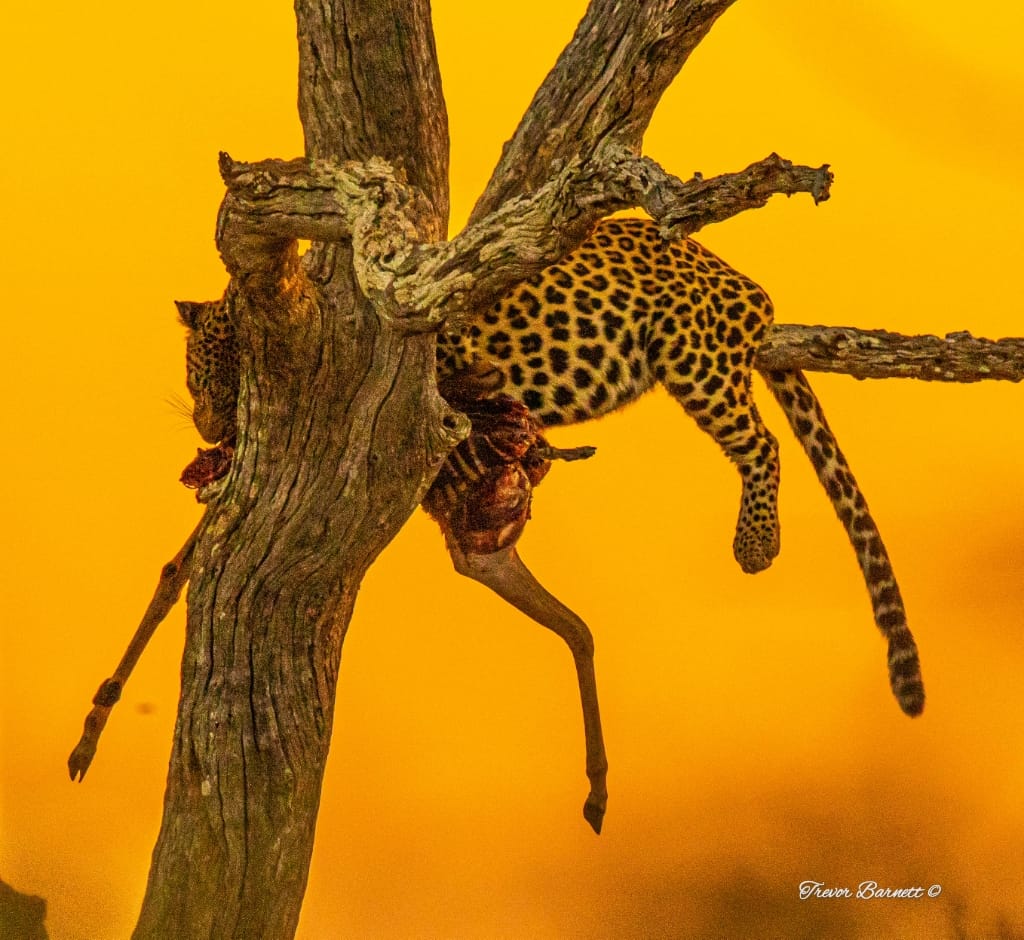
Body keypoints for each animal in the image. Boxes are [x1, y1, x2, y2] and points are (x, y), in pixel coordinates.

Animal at [178, 217, 924, 717]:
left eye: (223, 378)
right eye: (195, 382)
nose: (209, 425)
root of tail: (741, 281)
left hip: (694, 355)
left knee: (761, 443)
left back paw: (756, 543)